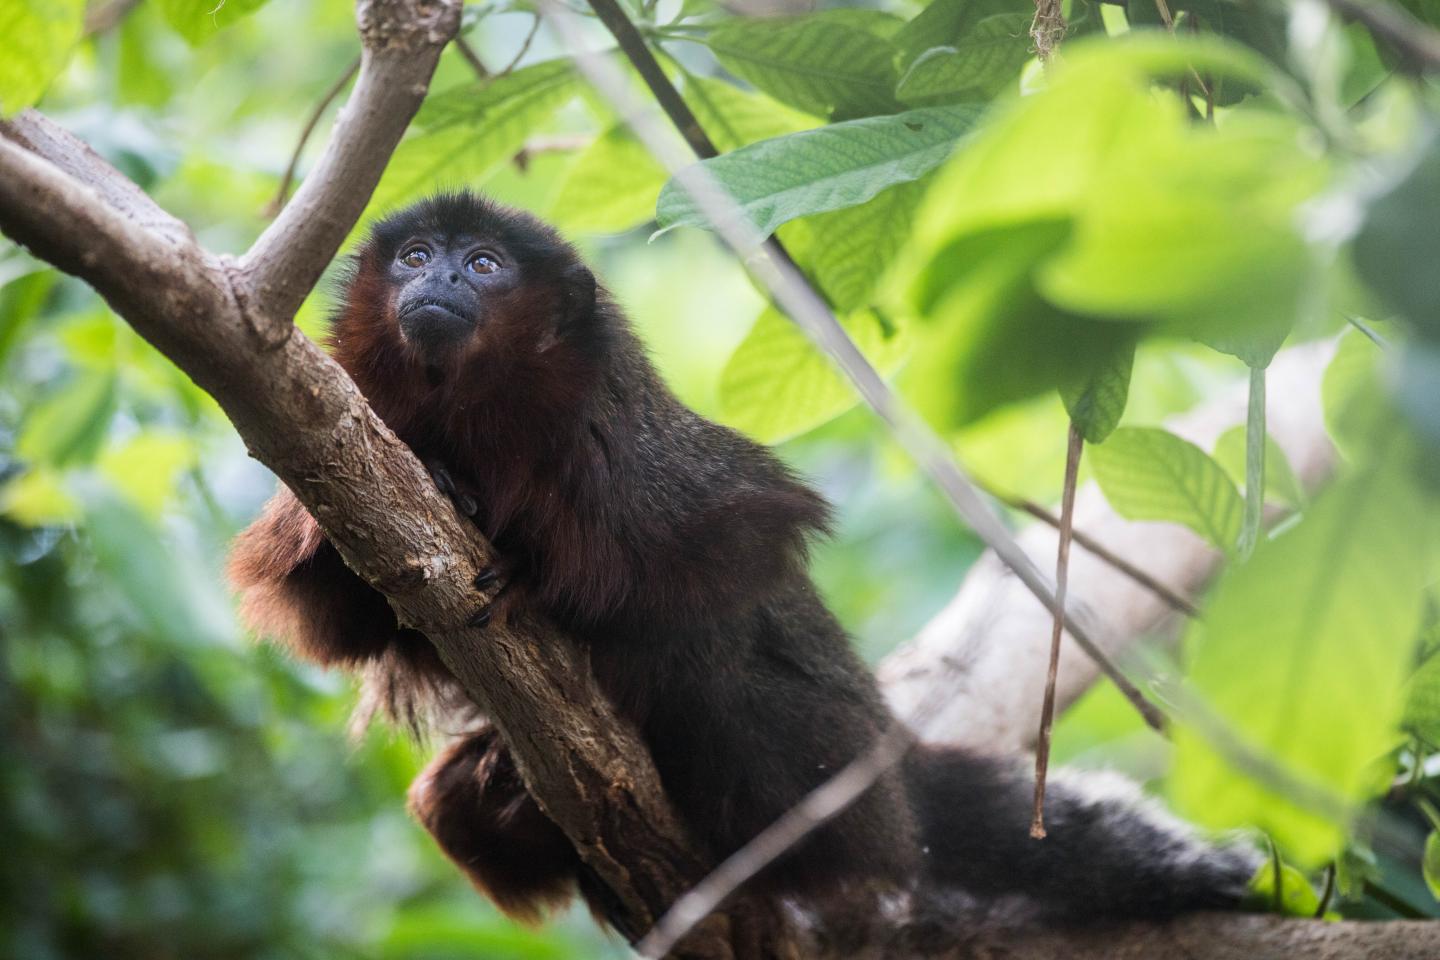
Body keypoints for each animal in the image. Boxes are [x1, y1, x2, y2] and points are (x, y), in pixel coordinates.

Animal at [227, 191, 1261, 944]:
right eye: (415, 255)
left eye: (483, 265)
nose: (439, 275)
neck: (481, 413)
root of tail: (891, 761)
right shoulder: (352, 426)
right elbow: (333, 607)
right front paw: (446, 491)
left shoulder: (634, 454)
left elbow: (730, 561)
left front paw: (533, 575)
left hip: (832, 765)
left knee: (721, 675)